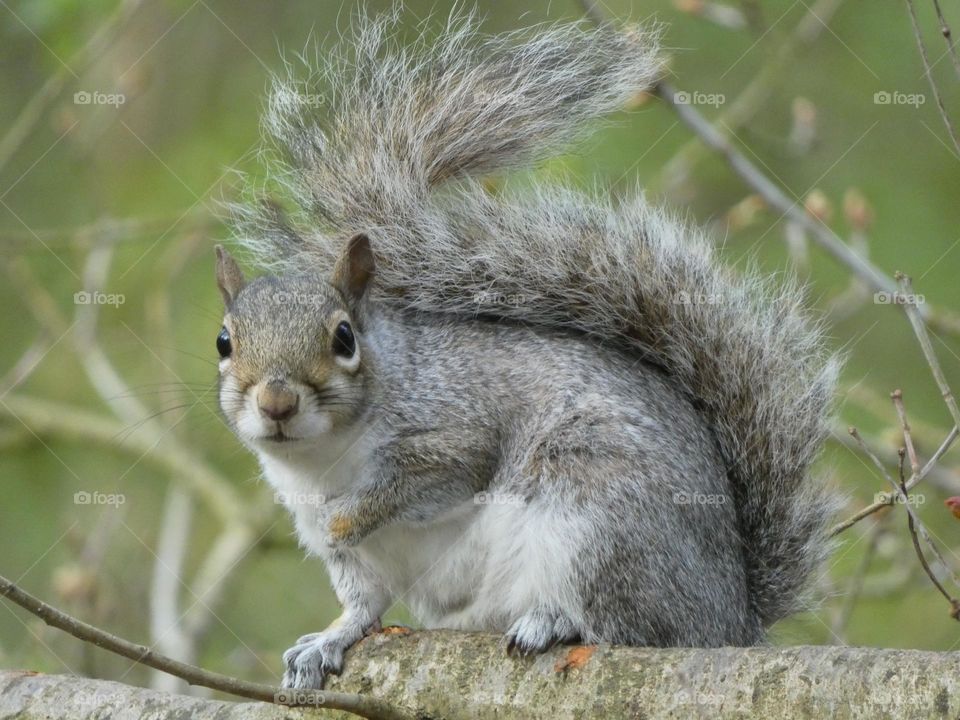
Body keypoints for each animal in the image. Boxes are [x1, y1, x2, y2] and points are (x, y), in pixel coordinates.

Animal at [213, 10, 841, 690]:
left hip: (600, 516)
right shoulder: (351, 557)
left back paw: (555, 621)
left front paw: (346, 517)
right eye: (224, 341)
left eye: (344, 338)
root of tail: (730, 619)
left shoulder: (457, 429)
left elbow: (432, 478)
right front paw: (330, 638)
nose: (276, 402)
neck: (323, 459)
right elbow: (362, 606)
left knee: (627, 625)